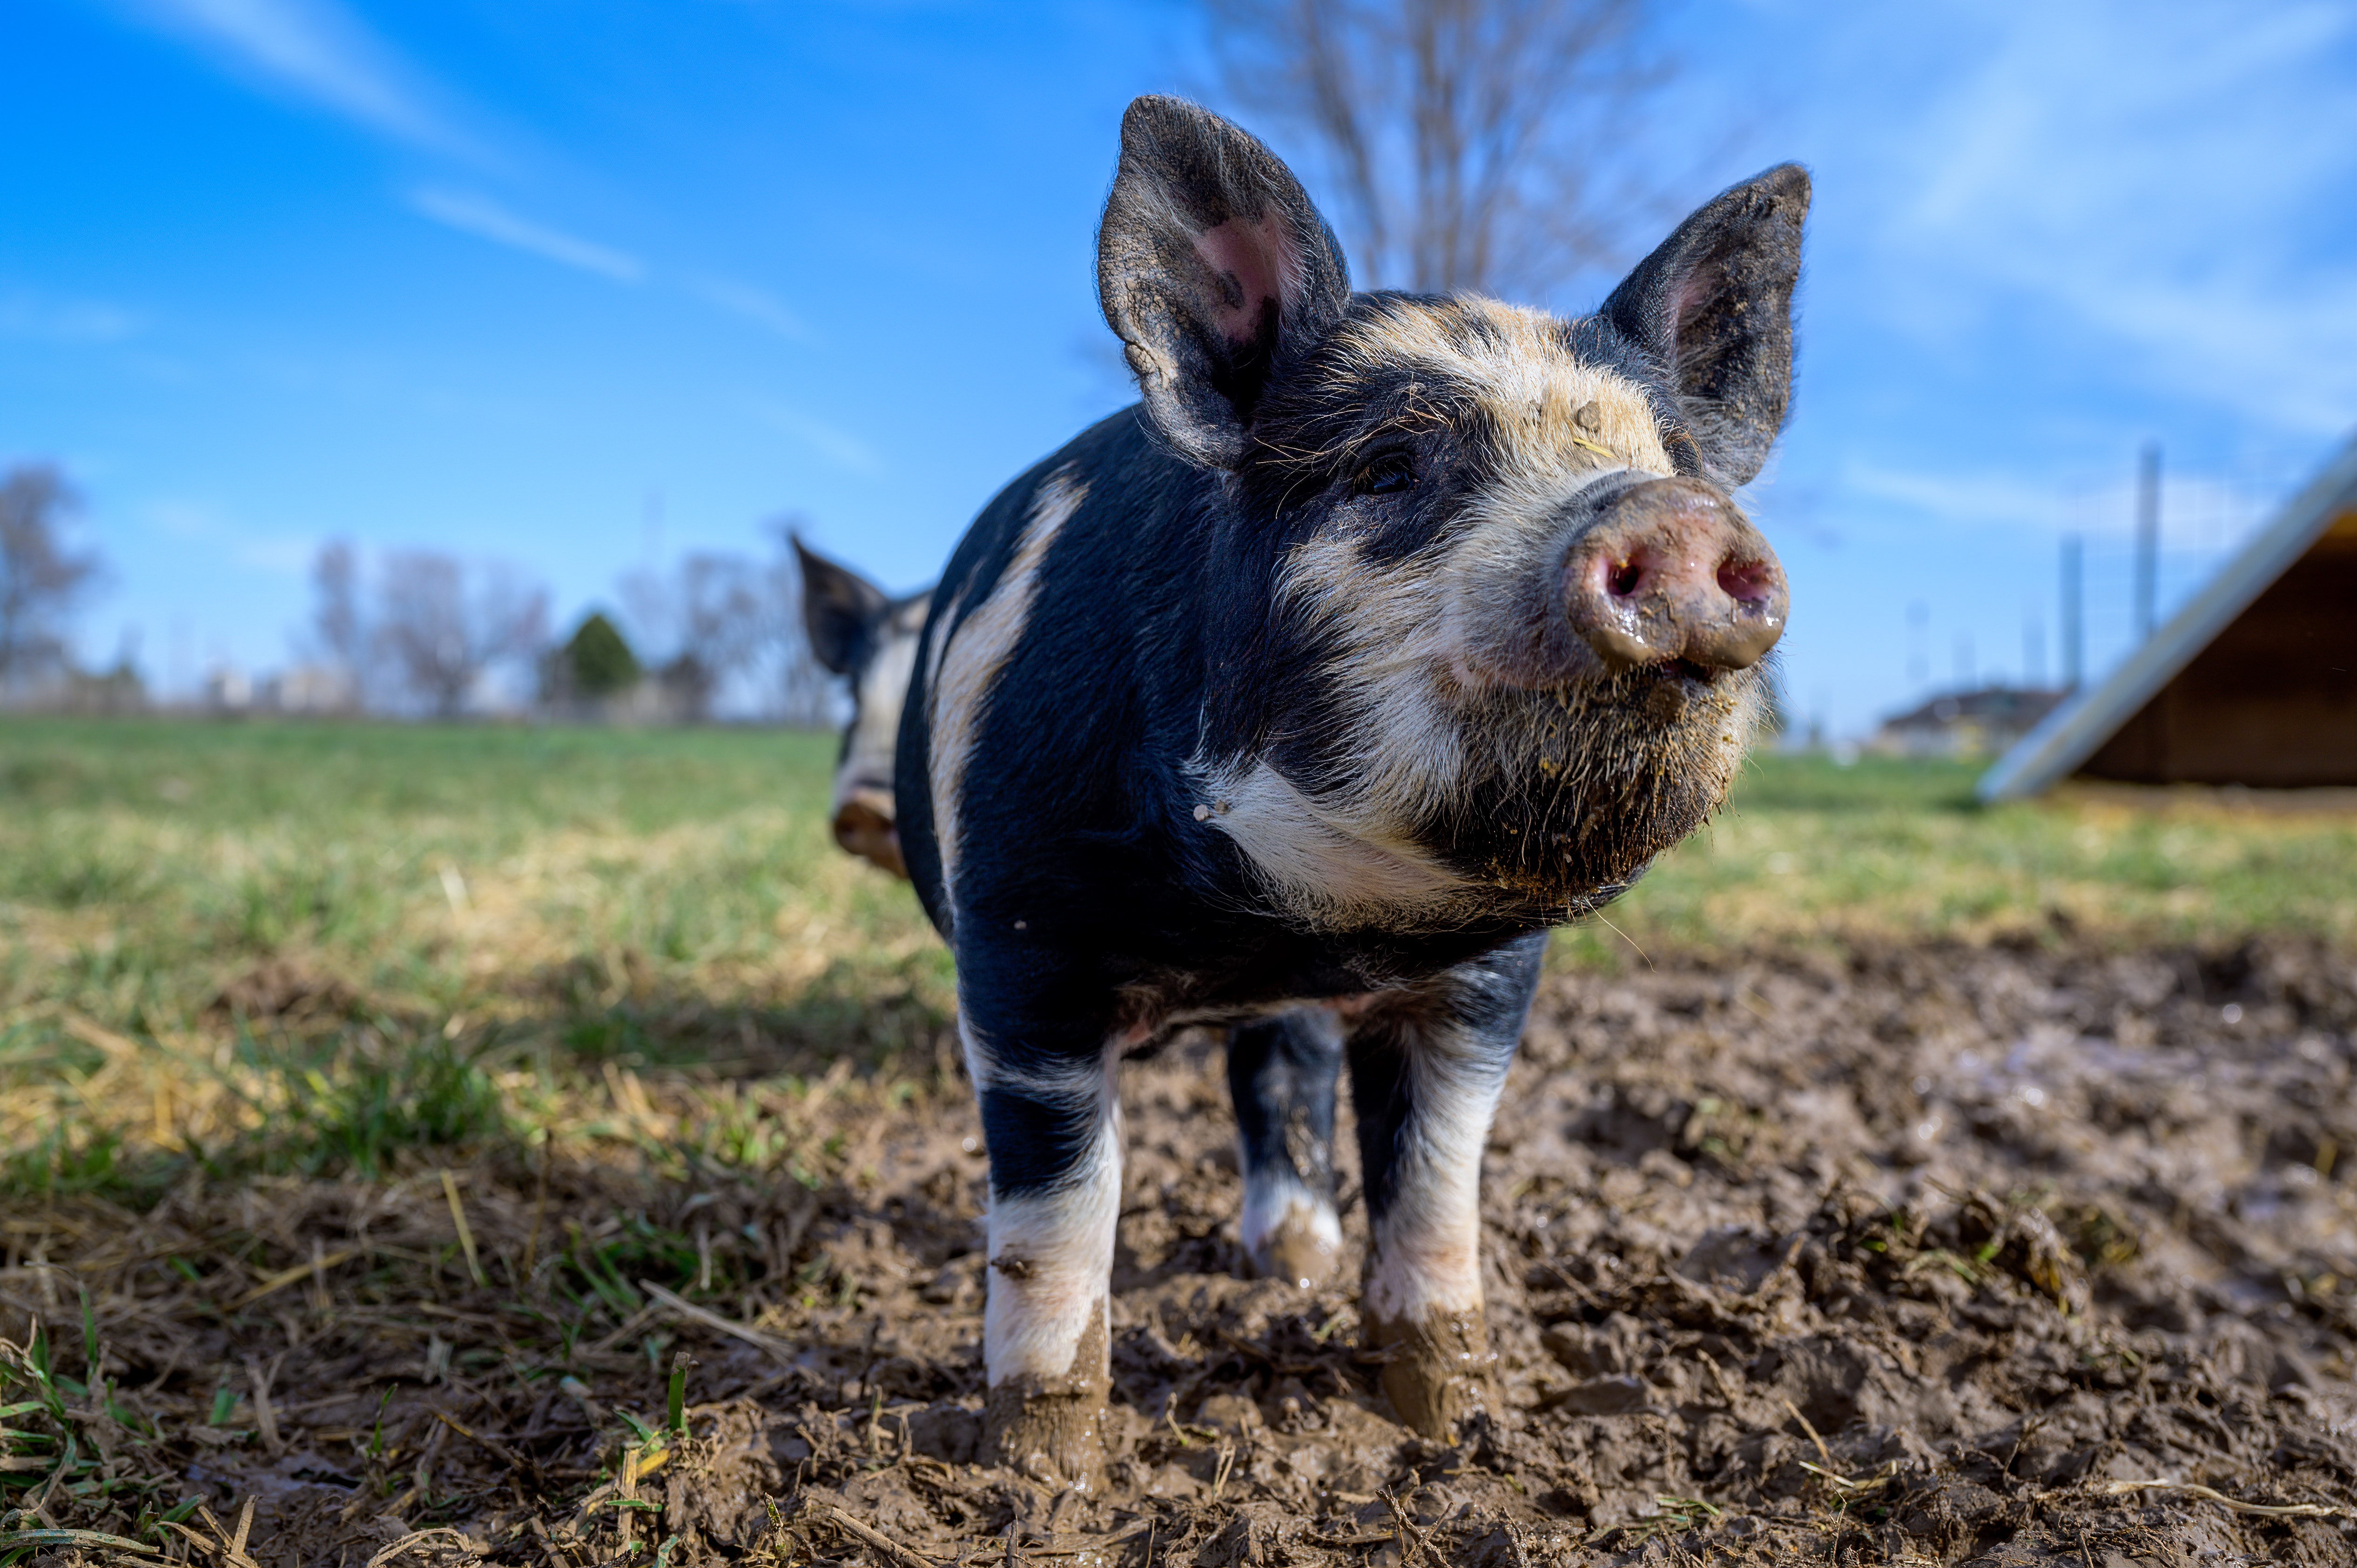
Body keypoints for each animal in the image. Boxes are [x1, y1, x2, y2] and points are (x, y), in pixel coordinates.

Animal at [896, 94, 1800, 1481]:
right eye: (1386, 466)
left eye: (1678, 459)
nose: (1677, 515)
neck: (1283, 916)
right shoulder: (1018, 938)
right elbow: (1058, 1212)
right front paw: (1044, 1467)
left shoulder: (1482, 983)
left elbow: (1434, 1188)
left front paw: (1450, 1420)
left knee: (1279, 1072)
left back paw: (1297, 1260)